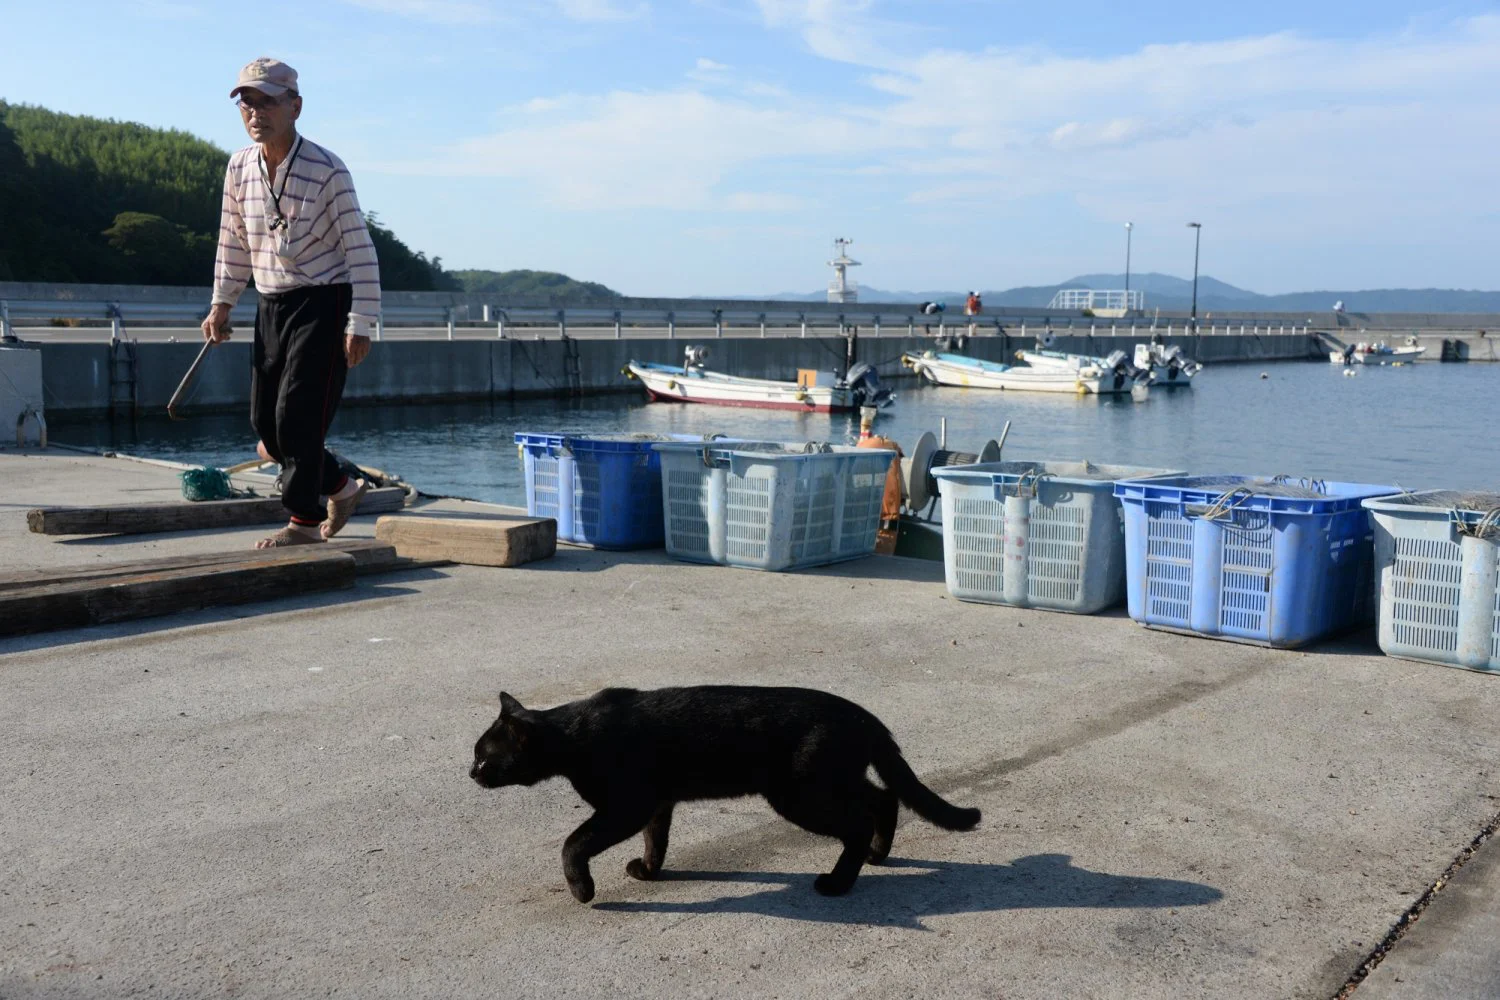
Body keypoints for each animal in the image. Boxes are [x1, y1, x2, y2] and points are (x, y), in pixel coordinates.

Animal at [471, 683, 984, 905]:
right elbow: (657, 840)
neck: (574, 736)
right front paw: (650, 872)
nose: (468, 773)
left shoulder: (626, 806)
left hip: (800, 794)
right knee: (884, 798)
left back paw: (838, 883)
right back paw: (879, 854)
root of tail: (864, 715)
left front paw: (582, 888)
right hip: (829, 783)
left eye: (483, 757)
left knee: (859, 819)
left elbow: (573, 843)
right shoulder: (657, 803)